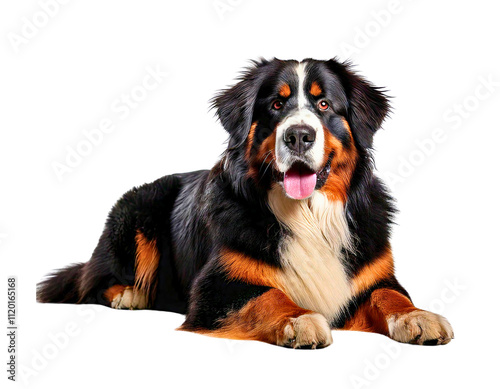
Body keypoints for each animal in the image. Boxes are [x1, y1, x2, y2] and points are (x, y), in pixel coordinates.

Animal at [38, 57, 454, 348]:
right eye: (276, 106)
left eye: (323, 104)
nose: (298, 135)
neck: (307, 214)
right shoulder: (215, 287)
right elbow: (267, 296)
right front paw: (298, 321)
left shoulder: (373, 275)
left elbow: (389, 294)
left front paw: (418, 317)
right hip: (137, 212)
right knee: (93, 280)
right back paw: (130, 293)